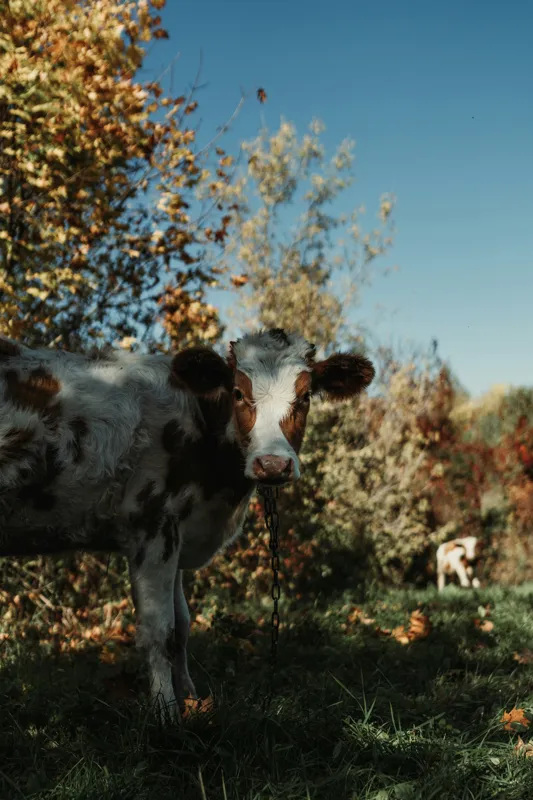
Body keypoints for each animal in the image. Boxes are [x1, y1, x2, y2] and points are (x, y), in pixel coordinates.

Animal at [0, 328, 374, 715]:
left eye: (305, 396)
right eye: (238, 393)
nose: (272, 464)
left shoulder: (177, 534)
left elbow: (182, 626)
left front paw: (191, 700)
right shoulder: (152, 525)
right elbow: (159, 629)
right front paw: (165, 710)